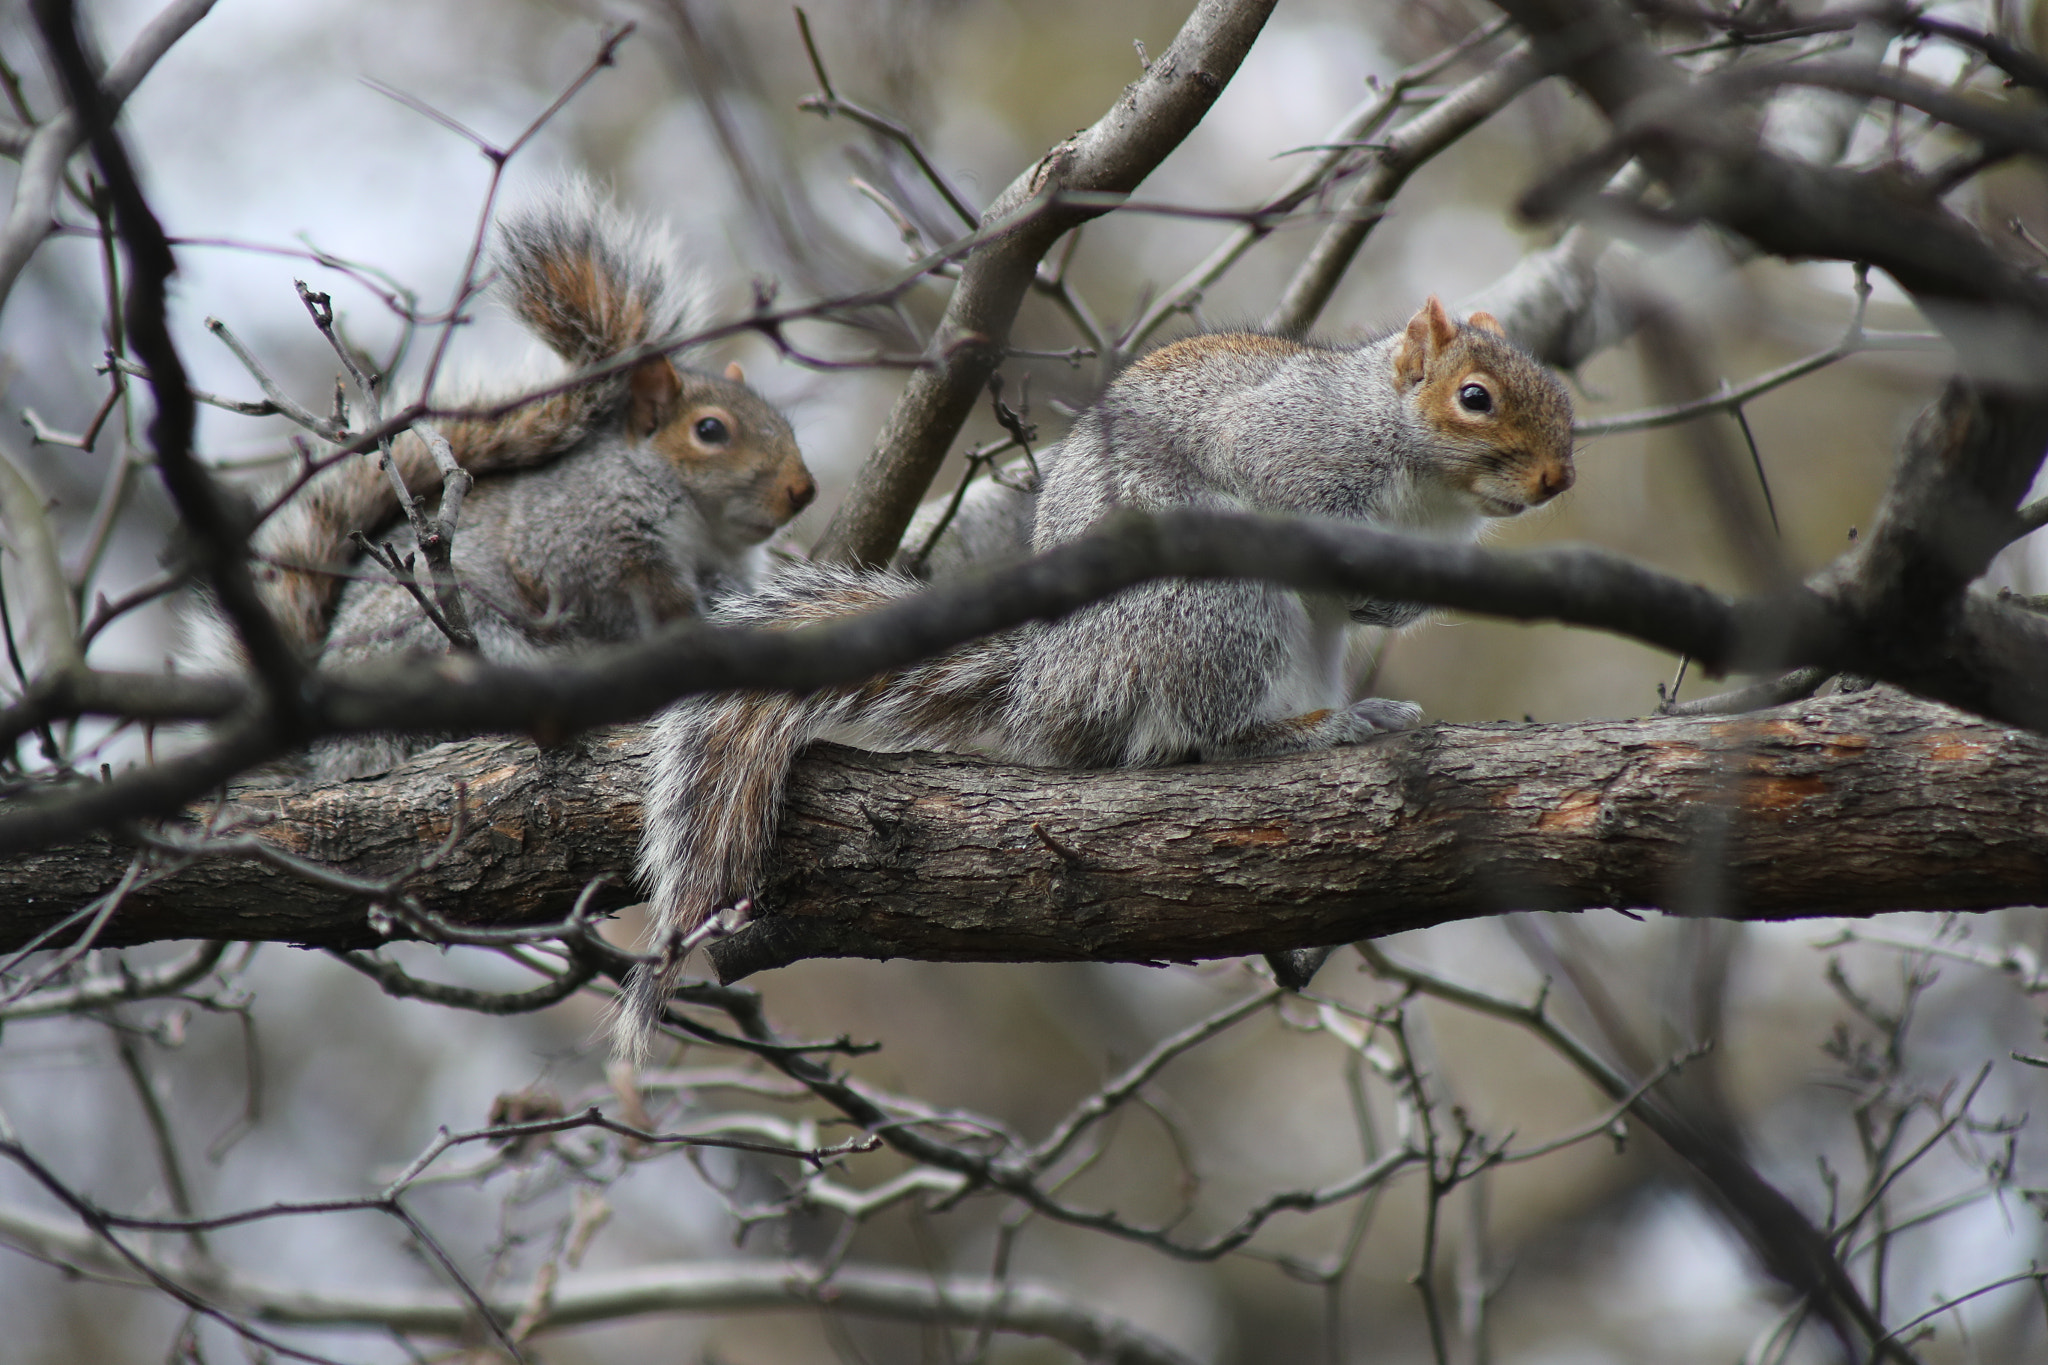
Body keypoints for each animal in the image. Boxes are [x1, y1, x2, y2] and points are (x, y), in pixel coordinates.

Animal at [184, 185, 816, 780]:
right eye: (710, 430)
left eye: (786, 424)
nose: (802, 490)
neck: (703, 527)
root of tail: (327, 759)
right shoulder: (580, 537)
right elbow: (621, 592)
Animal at [621, 298, 1573, 1056]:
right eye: (1475, 398)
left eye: (1564, 400)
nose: (1558, 478)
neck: (1423, 484)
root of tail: (1054, 685)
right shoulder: (1292, 446)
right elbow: (1288, 491)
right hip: (1213, 606)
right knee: (1209, 733)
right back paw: (1300, 732)